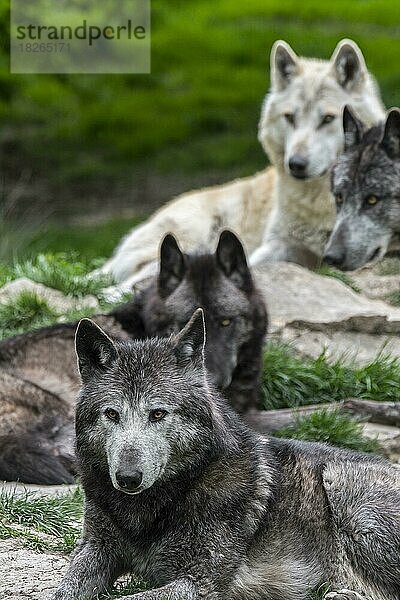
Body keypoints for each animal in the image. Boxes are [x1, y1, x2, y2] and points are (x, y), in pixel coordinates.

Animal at [51, 312, 398, 600]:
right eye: (112, 414)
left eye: (158, 413)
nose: (127, 478)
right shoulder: (95, 548)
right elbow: (63, 590)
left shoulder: (199, 582)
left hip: (342, 488)